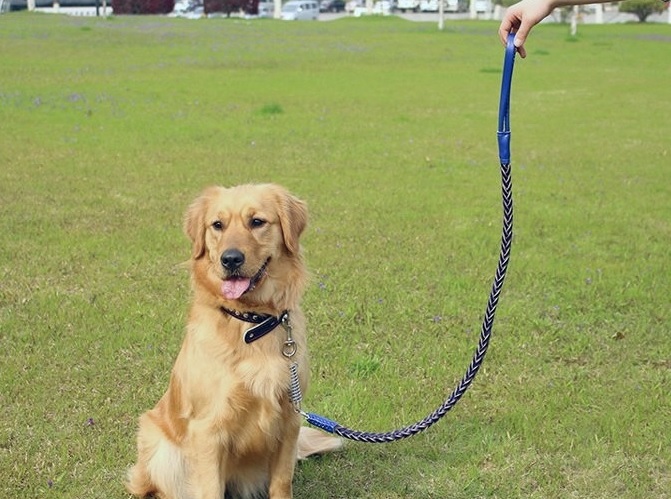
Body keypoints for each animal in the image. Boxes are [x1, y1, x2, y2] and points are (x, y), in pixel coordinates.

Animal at [127, 185, 342, 499]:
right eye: (218, 225)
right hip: (162, 451)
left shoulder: (289, 420)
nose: (230, 259)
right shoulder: (207, 430)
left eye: (257, 222)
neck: (252, 321)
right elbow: (210, 490)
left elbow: (282, 483)